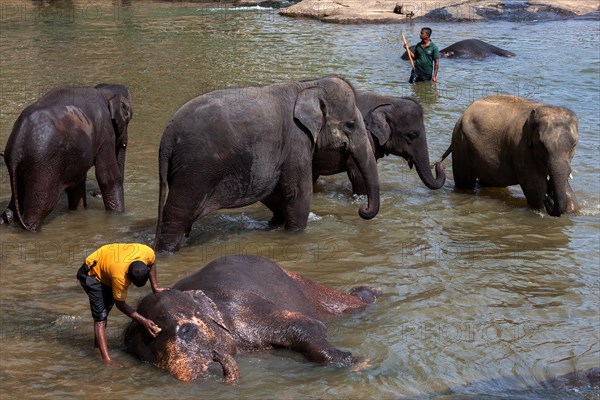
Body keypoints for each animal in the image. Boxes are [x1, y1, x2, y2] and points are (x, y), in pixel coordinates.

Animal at [0, 83, 132, 231]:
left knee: (12, 206)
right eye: (129, 116)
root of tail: (17, 146)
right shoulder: (105, 134)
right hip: (43, 166)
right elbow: (108, 178)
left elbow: (77, 182)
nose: (94, 193)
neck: (103, 91)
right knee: (41, 206)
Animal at [123, 255, 380, 382]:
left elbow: (308, 325)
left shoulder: (243, 310)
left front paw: (357, 363)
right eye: (148, 358)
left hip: (306, 287)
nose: (215, 358)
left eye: (187, 331)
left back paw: (371, 293)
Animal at [155, 75, 380, 253]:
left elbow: (274, 192)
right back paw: (166, 251)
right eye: (350, 125)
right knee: (177, 214)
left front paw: (274, 225)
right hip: (195, 172)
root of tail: (167, 137)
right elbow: (298, 192)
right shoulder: (297, 140)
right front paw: (295, 235)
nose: (362, 209)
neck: (309, 85)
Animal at [438, 95, 580, 217]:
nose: (548, 198)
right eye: (541, 145)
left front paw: (574, 210)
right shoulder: (521, 148)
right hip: (461, 145)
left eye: (574, 145)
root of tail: (462, 115)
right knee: (465, 184)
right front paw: (542, 207)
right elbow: (535, 188)